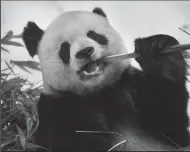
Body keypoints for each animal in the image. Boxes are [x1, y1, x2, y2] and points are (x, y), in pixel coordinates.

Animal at [21, 6, 189, 151]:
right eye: (65, 47)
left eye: (94, 35)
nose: (85, 51)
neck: (98, 91)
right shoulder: (58, 108)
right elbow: (68, 143)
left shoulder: (128, 85)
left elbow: (169, 120)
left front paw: (156, 49)